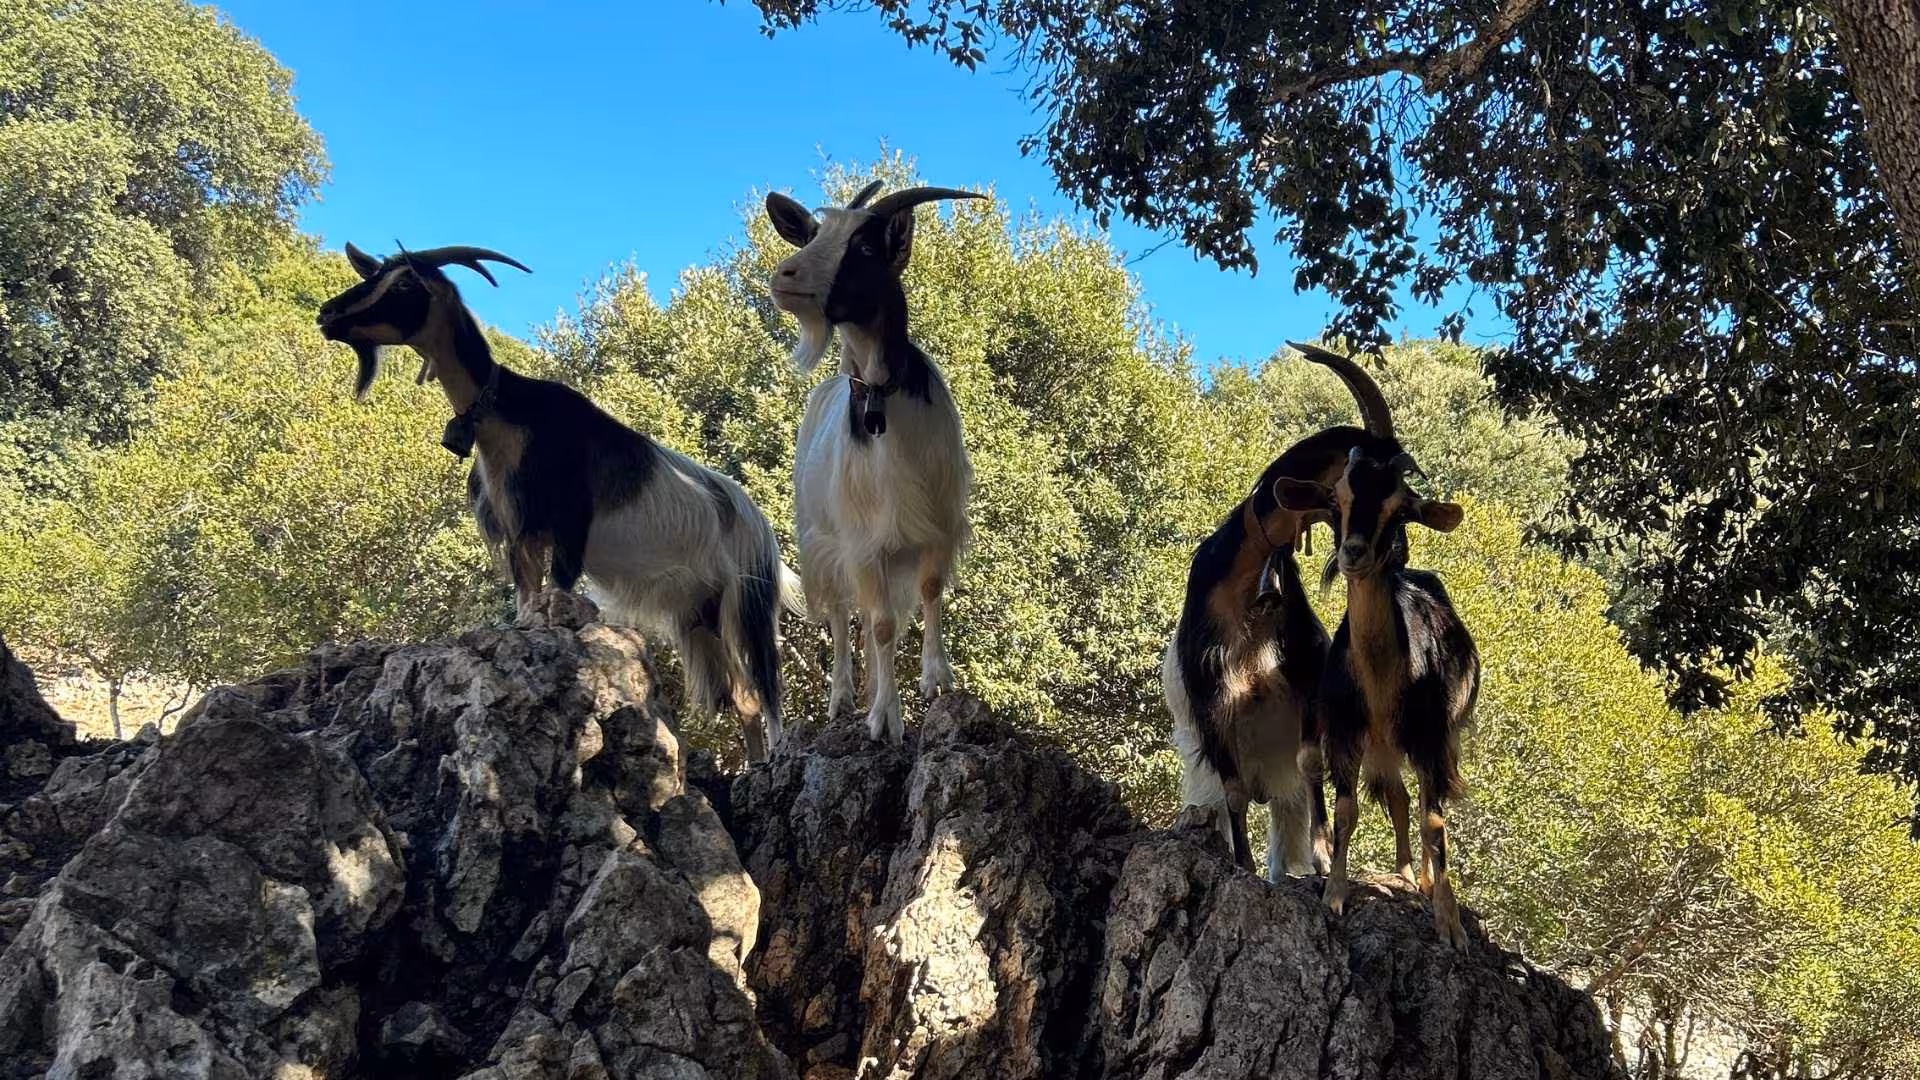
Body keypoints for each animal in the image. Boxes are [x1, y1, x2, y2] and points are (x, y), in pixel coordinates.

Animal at [315, 242, 799, 763]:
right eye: (375, 276)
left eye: (405, 284)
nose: (328, 314)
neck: (510, 415)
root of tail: (758, 524)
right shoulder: (521, 536)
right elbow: (528, 607)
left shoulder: (570, 530)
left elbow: (556, 594)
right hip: (699, 609)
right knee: (743, 697)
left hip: (746, 599)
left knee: (764, 688)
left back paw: (774, 757)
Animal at [763, 180, 981, 744]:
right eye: (813, 235)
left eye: (863, 247)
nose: (784, 275)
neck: (881, 394)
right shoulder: (865, 541)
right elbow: (880, 626)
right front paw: (885, 717)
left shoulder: (936, 523)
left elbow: (929, 591)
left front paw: (936, 679)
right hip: (823, 541)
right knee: (842, 617)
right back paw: (842, 699)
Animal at [1163, 343, 1404, 881]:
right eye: (1354, 484)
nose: (1395, 554)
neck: (1248, 582)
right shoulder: (1211, 699)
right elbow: (1232, 792)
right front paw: (1241, 866)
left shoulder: (1306, 679)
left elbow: (1312, 764)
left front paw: (1322, 859)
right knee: (1223, 802)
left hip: (1279, 783)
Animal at [1273, 344, 1480, 949]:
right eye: (1337, 498)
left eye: (1400, 506)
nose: (1354, 554)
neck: (1389, 673)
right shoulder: (1344, 731)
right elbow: (1347, 813)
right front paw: (1336, 896)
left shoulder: (1431, 737)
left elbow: (1437, 821)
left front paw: (1448, 921)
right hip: (1383, 746)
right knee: (1397, 798)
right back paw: (1406, 874)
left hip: (1432, 738)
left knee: (1421, 805)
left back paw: (1422, 882)